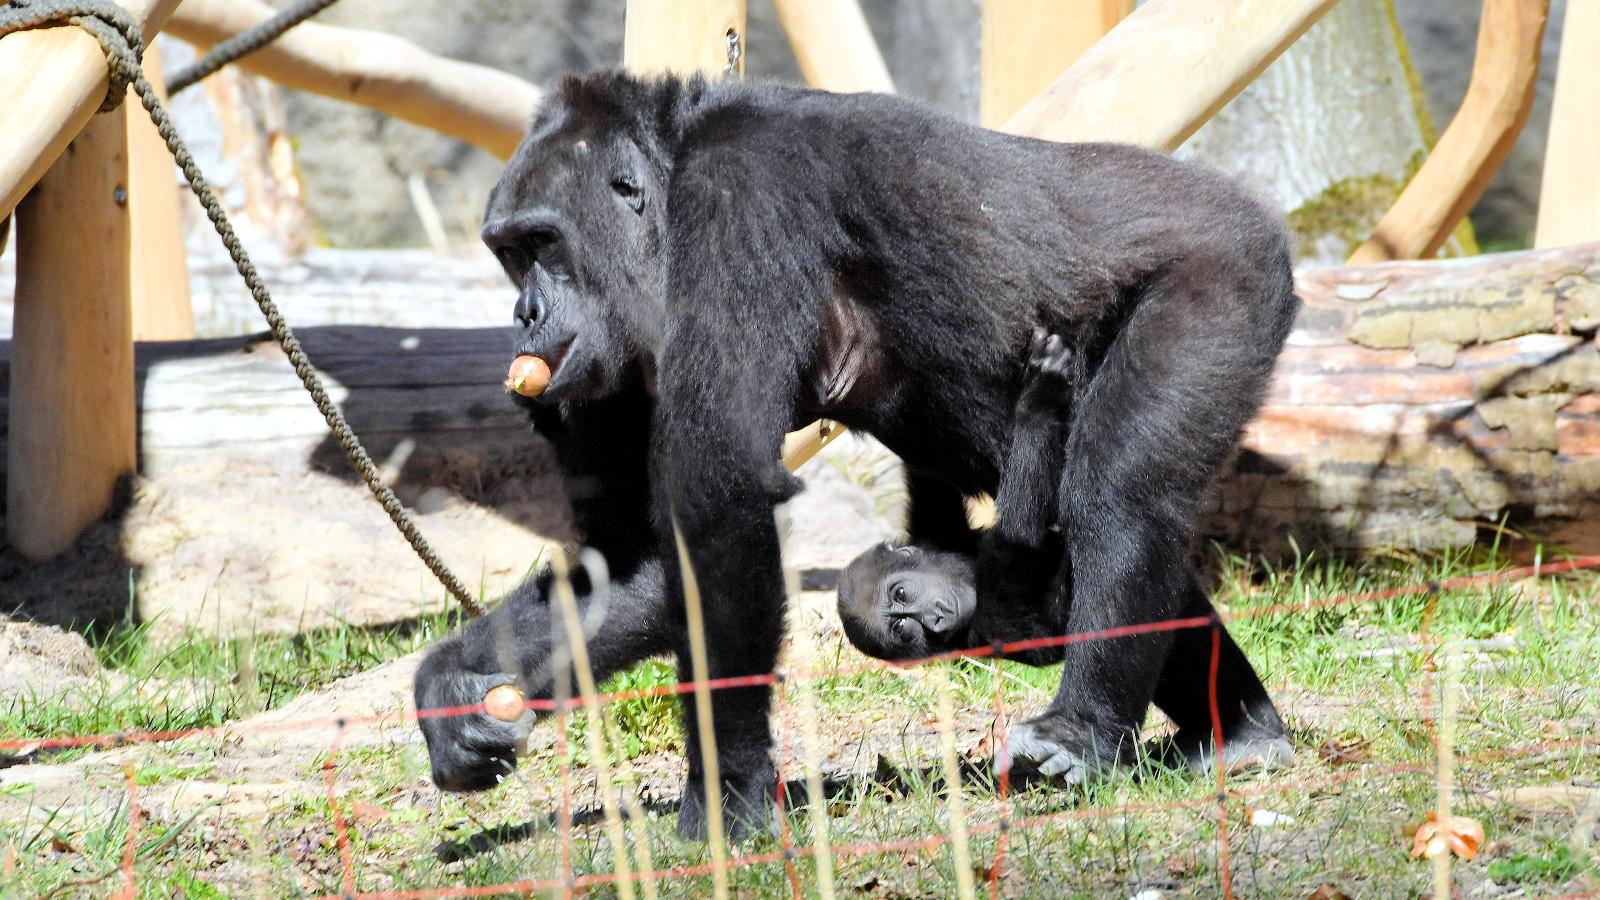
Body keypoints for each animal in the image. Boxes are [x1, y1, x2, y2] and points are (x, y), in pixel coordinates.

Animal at [838, 328, 1075, 659]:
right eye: (903, 630)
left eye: (901, 593)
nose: (935, 619)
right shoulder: (989, 628)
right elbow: (1021, 534)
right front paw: (1038, 399)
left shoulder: (936, 531)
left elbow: (928, 463)